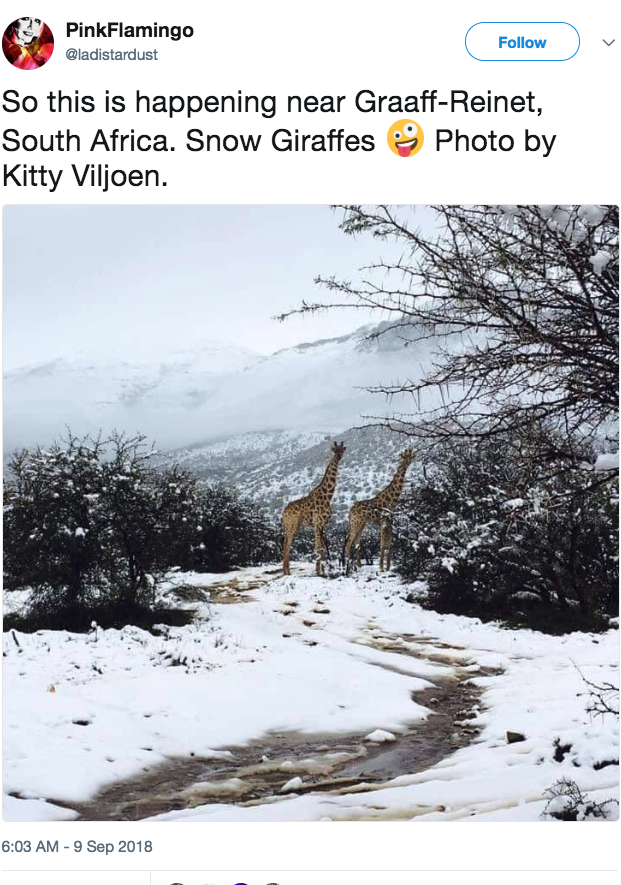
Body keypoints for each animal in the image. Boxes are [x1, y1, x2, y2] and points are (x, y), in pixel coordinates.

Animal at [280, 440, 344, 576]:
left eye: (342, 450)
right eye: (334, 450)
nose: (338, 457)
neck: (328, 496)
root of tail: (284, 512)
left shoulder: (323, 524)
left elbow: (322, 548)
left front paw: (323, 570)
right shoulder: (318, 522)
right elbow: (318, 548)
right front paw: (319, 571)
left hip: (292, 526)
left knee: (285, 544)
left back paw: (286, 571)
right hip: (291, 525)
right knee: (286, 544)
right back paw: (287, 572)